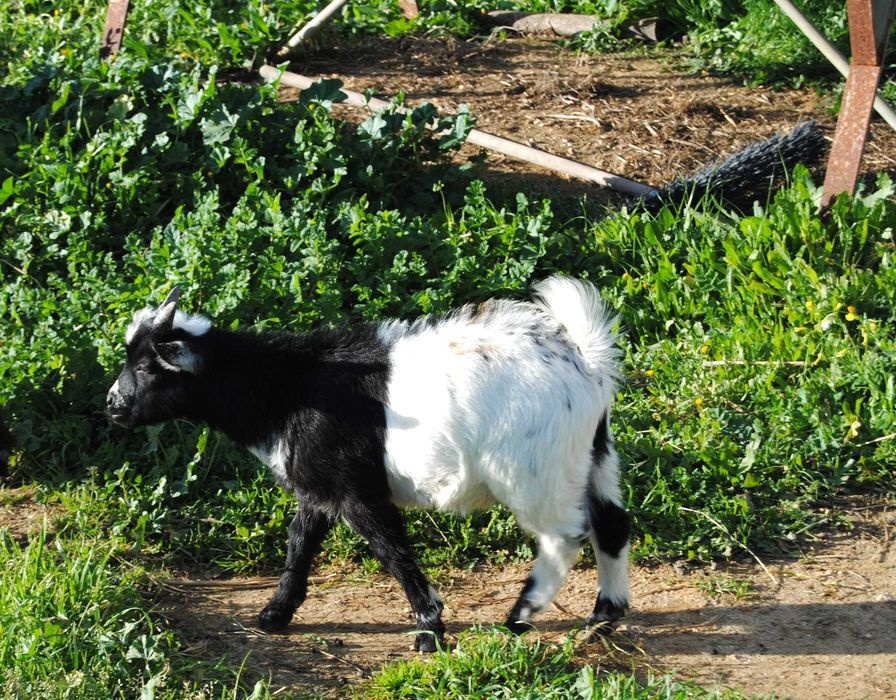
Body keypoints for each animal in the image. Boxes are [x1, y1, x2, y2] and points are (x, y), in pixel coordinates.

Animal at [106, 278, 632, 651]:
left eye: (148, 367)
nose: (112, 405)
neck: (288, 388)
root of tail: (585, 363)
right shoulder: (319, 485)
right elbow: (300, 544)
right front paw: (274, 615)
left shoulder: (355, 490)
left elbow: (391, 549)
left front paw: (430, 630)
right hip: (595, 456)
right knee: (613, 522)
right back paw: (604, 617)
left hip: (533, 471)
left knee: (565, 535)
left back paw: (520, 616)